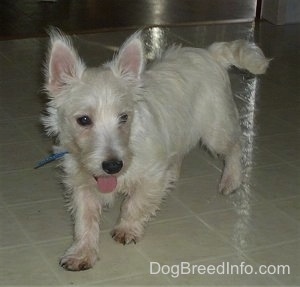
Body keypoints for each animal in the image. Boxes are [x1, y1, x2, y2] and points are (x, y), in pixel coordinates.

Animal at [42, 29, 270, 272]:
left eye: (124, 117)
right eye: (83, 120)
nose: (113, 166)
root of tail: (210, 53)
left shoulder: (152, 175)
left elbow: (135, 204)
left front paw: (127, 229)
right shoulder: (81, 184)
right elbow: (85, 221)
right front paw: (82, 252)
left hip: (215, 131)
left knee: (236, 146)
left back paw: (231, 180)